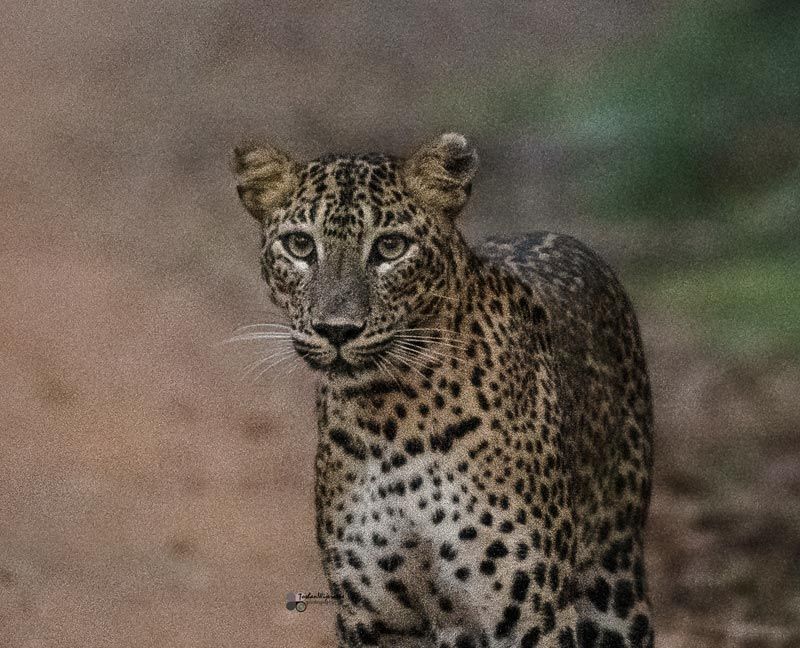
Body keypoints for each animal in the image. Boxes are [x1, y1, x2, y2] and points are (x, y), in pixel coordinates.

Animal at [233, 133, 655, 648]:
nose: (337, 330)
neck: (388, 416)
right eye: (299, 245)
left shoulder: (532, 616)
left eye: (391, 247)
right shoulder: (372, 619)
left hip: (614, 581)